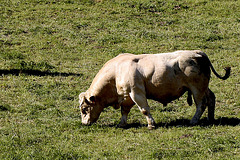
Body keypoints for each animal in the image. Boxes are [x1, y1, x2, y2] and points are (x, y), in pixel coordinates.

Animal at [79, 50, 231, 129]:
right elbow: (124, 111)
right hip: (204, 87)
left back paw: (194, 121)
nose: (84, 123)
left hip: (197, 88)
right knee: (211, 98)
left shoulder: (136, 92)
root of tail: (197, 53)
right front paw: (122, 123)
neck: (116, 71)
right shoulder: (127, 95)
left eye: (84, 109)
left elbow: (144, 110)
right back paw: (211, 118)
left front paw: (151, 124)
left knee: (201, 104)